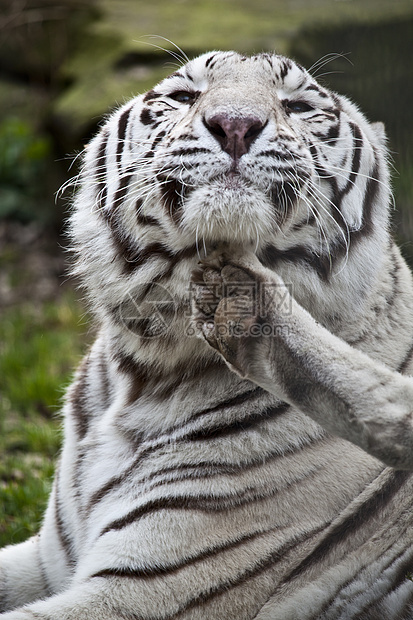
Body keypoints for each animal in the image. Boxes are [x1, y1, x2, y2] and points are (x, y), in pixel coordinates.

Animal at [0, 50, 412, 616]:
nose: (235, 125)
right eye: (184, 97)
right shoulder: (47, 561)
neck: (145, 365)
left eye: (298, 105)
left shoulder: (146, 587)